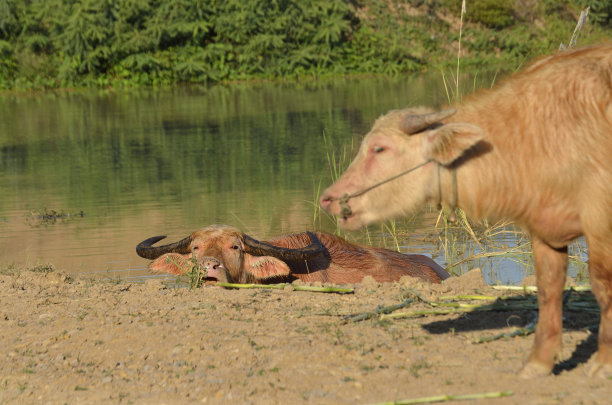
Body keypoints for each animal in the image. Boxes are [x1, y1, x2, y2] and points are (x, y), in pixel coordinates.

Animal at [318, 42, 612, 378]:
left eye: (379, 148)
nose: (328, 198)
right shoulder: (543, 226)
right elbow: (548, 289)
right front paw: (538, 363)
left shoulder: (600, 221)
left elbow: (603, 285)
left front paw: (604, 362)